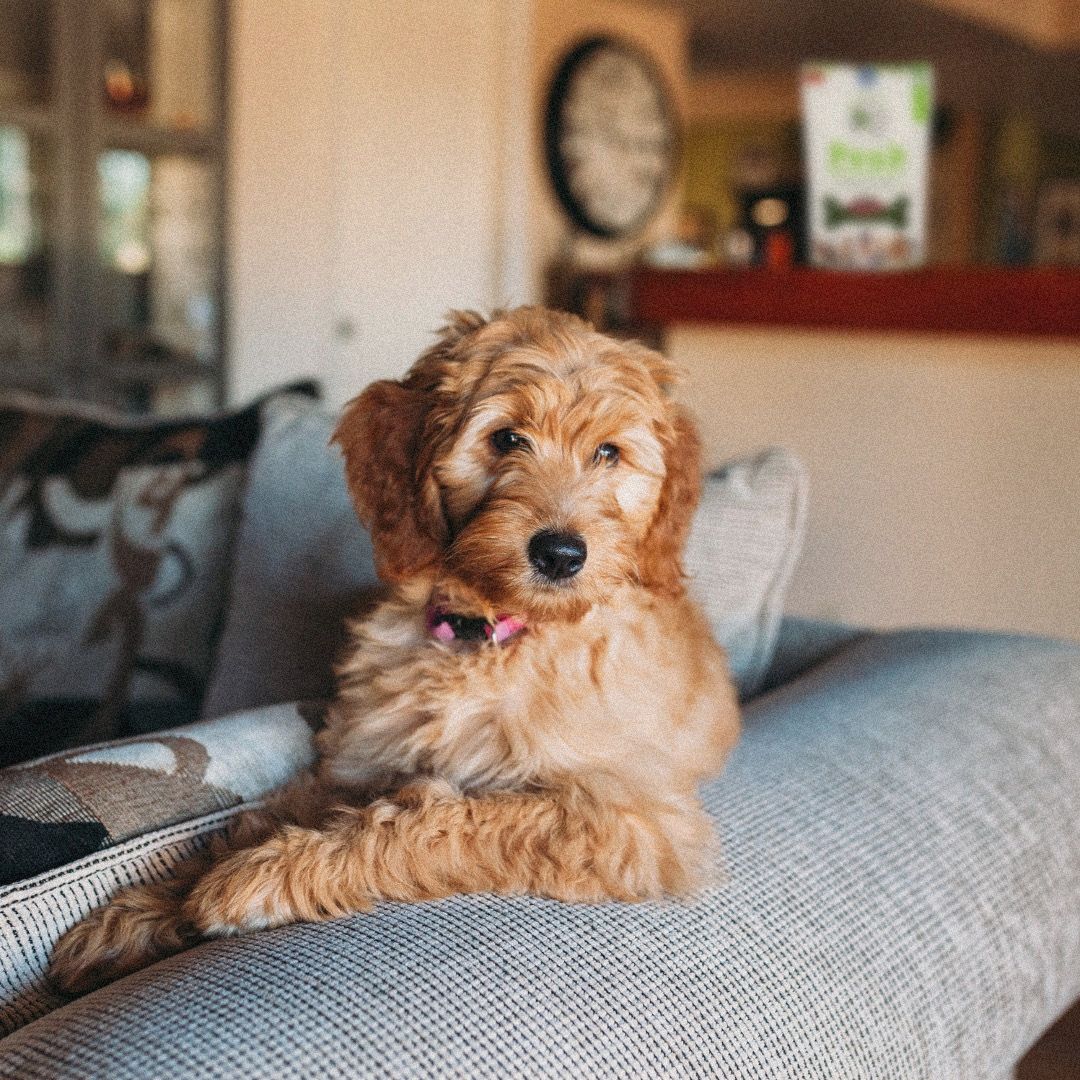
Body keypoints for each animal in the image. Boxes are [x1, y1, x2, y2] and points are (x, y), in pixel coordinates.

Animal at [52, 304, 743, 993]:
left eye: (608, 453)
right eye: (506, 439)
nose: (560, 553)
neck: (487, 638)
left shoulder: (635, 820)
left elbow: (446, 819)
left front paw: (260, 878)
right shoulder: (355, 763)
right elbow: (261, 816)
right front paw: (142, 912)